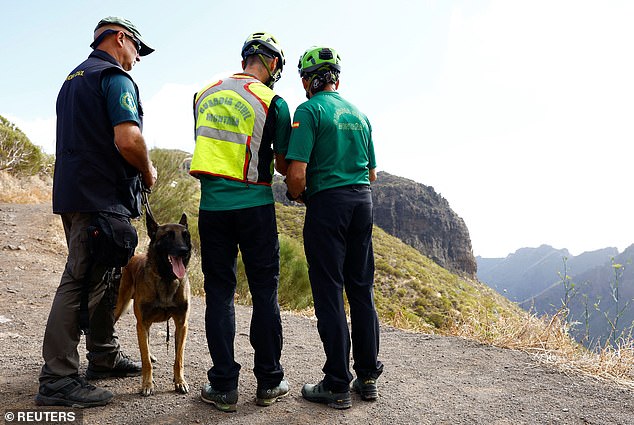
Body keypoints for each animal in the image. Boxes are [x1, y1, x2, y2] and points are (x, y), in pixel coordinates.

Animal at [114, 214, 190, 396]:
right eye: (168, 236)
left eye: (186, 236)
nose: (185, 250)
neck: (167, 278)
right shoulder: (142, 324)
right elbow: (145, 360)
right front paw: (147, 384)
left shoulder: (181, 325)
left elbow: (179, 358)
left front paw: (180, 381)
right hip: (119, 307)